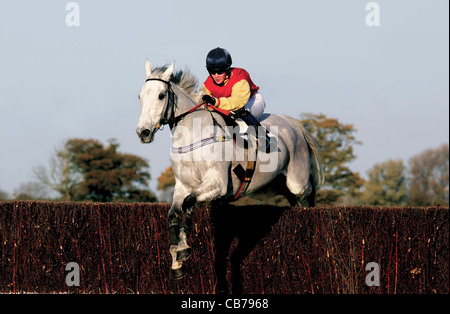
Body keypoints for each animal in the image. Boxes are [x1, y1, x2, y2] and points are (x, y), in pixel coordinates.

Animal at [136, 60, 324, 278]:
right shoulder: (182, 186)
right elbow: (174, 212)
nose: (143, 132)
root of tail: (293, 124)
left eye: (161, 95)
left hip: (297, 180)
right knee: (291, 198)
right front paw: (177, 261)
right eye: (140, 96)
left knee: (307, 194)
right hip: (272, 186)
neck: (193, 135)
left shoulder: (217, 185)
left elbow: (189, 203)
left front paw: (183, 250)